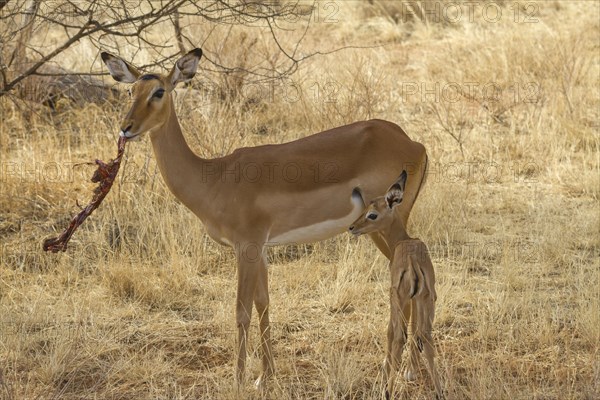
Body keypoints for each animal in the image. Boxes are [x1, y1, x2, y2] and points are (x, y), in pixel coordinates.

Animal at [101, 49, 428, 390]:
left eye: (159, 91)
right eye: (131, 90)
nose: (126, 127)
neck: (214, 179)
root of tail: (414, 144)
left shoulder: (246, 246)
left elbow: (241, 310)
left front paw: (238, 381)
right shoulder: (260, 249)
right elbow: (264, 302)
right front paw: (264, 376)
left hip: (386, 226)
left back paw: (405, 370)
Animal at [350, 173, 442, 400]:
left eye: (372, 214)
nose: (352, 227)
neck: (402, 241)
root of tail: (412, 263)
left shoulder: (396, 298)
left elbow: (391, 332)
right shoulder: (420, 300)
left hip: (398, 298)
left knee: (399, 336)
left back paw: (388, 391)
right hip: (427, 299)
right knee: (426, 337)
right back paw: (439, 391)